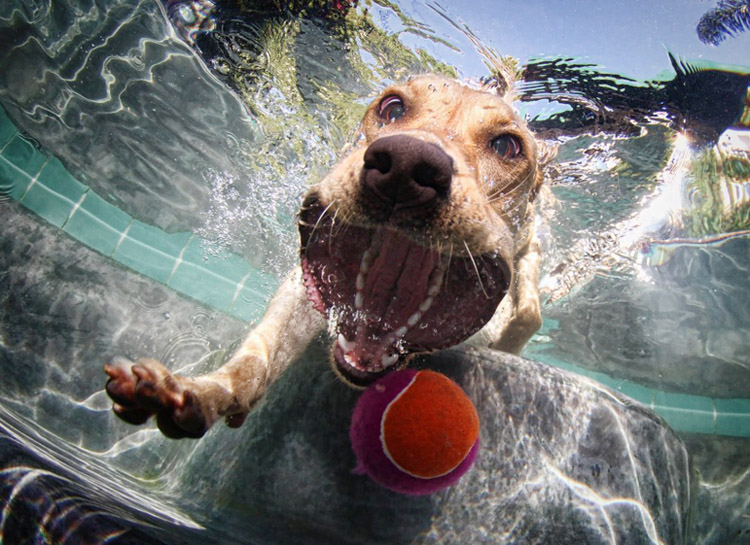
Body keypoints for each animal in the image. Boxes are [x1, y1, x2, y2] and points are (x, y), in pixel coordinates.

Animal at [104, 75, 548, 438]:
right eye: (392, 107)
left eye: (507, 146)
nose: (406, 166)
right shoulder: (300, 292)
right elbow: (258, 355)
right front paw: (204, 392)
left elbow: (528, 312)